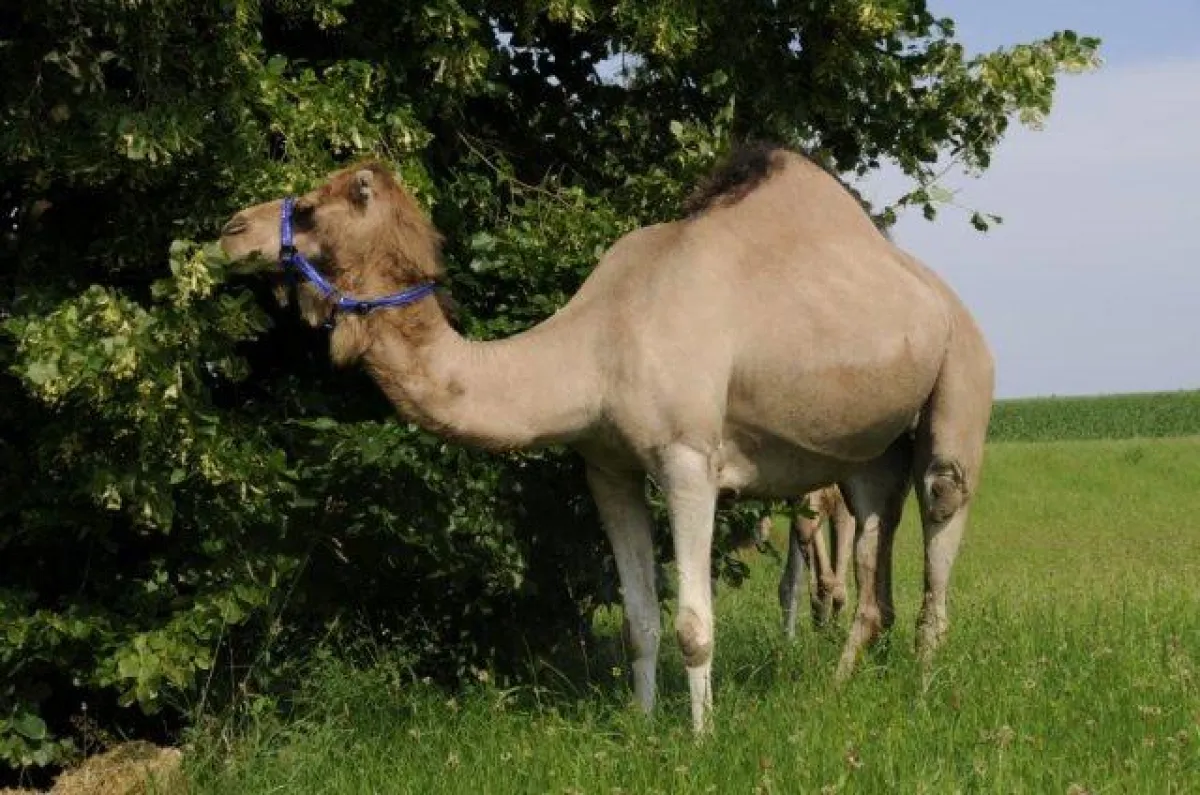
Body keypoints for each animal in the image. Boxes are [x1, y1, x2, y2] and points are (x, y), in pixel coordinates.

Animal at [217, 143, 995, 733]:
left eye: (309, 209)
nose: (229, 229)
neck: (595, 343)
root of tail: (946, 300)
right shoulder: (607, 466)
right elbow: (639, 620)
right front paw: (644, 728)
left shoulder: (688, 459)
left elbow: (692, 624)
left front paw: (701, 741)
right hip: (866, 449)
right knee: (872, 555)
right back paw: (837, 690)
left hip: (961, 378)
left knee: (941, 508)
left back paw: (922, 694)